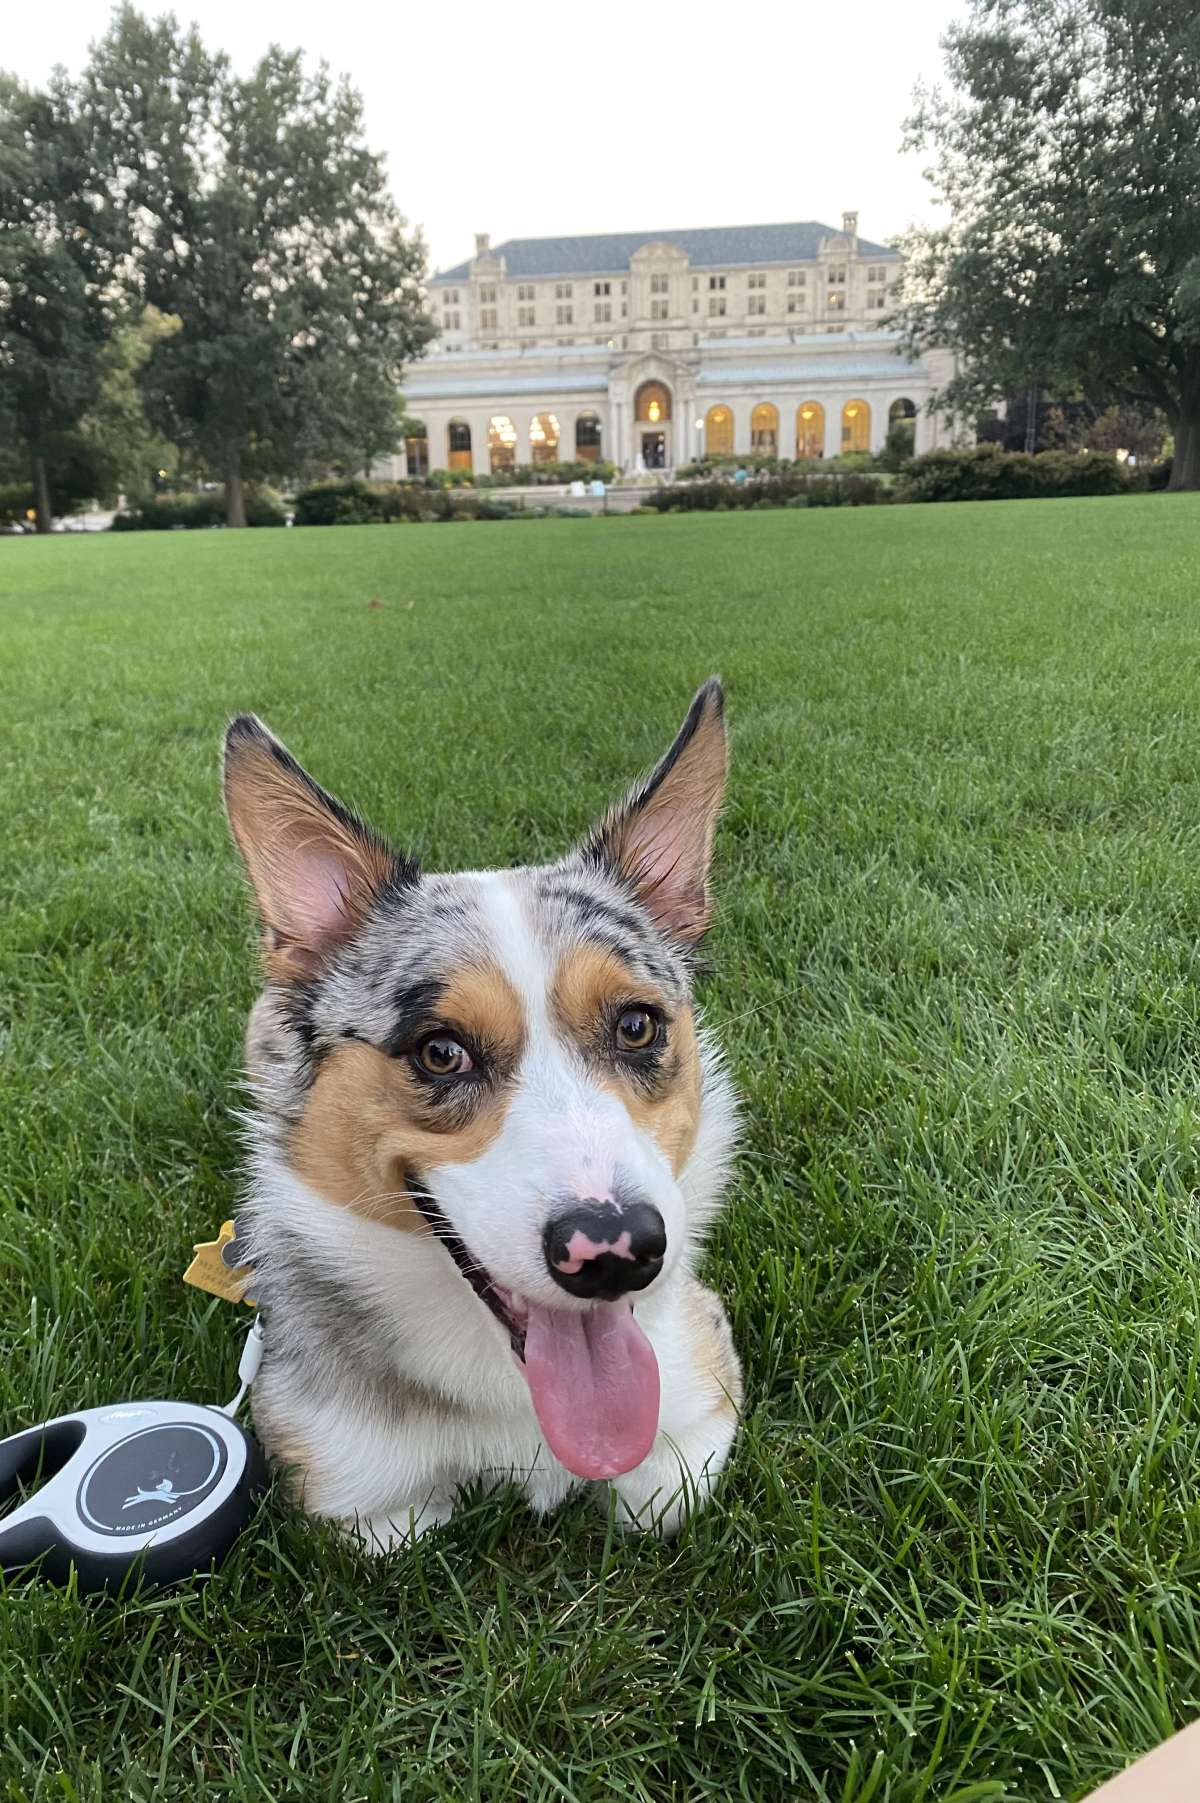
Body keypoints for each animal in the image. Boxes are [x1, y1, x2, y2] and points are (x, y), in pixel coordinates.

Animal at [219, 677, 735, 1550]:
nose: (615, 1251)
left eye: (637, 1025)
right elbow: (404, 1527)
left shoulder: (701, 1386)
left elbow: (657, 1496)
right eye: (441, 1051)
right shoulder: (353, 1493)